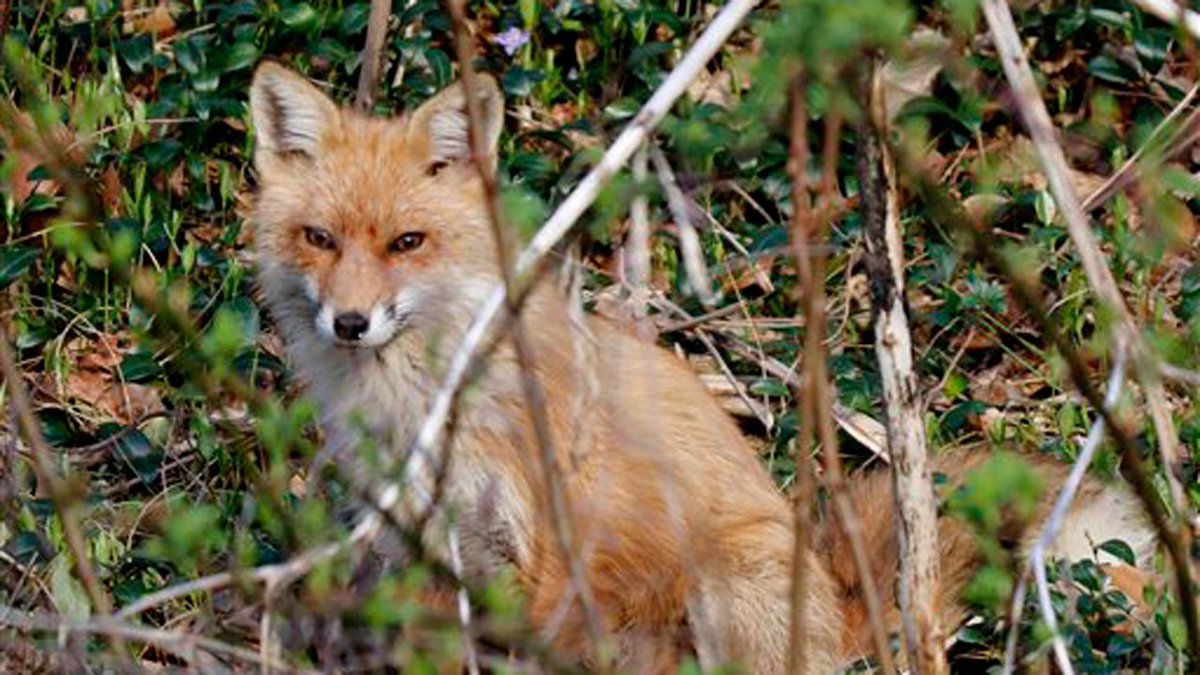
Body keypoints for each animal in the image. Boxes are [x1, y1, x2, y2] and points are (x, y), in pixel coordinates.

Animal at [247, 61, 1157, 673]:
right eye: (319, 238)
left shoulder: (544, 545)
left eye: (408, 242)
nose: (350, 322)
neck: (420, 403)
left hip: (727, 579)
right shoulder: (420, 549)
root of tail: (840, 602)